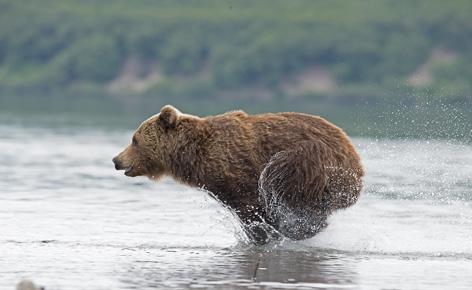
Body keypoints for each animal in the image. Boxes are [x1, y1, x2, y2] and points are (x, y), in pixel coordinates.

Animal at [112, 105, 364, 245]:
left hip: (310, 160)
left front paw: (264, 234)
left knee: (279, 176)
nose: (116, 160)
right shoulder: (220, 185)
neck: (193, 156)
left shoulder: (238, 171)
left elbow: (252, 206)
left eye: (135, 139)